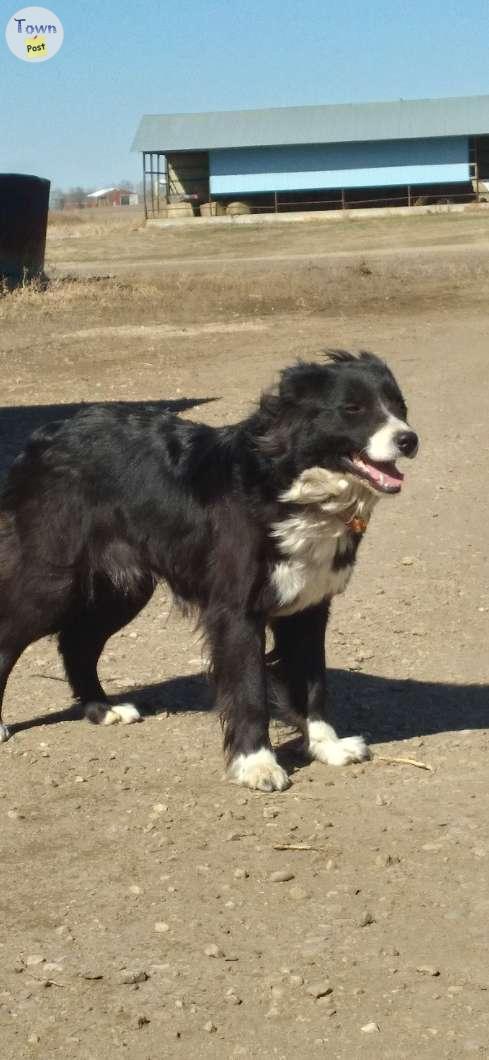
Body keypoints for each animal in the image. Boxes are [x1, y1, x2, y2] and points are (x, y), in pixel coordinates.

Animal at [0, 351, 415, 792]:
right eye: (353, 409)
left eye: (399, 407)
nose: (409, 439)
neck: (287, 483)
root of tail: (42, 438)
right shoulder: (237, 611)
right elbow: (250, 691)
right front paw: (257, 763)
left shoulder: (308, 607)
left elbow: (314, 683)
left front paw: (327, 746)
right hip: (51, 580)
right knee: (13, 637)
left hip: (122, 587)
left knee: (78, 643)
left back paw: (101, 709)